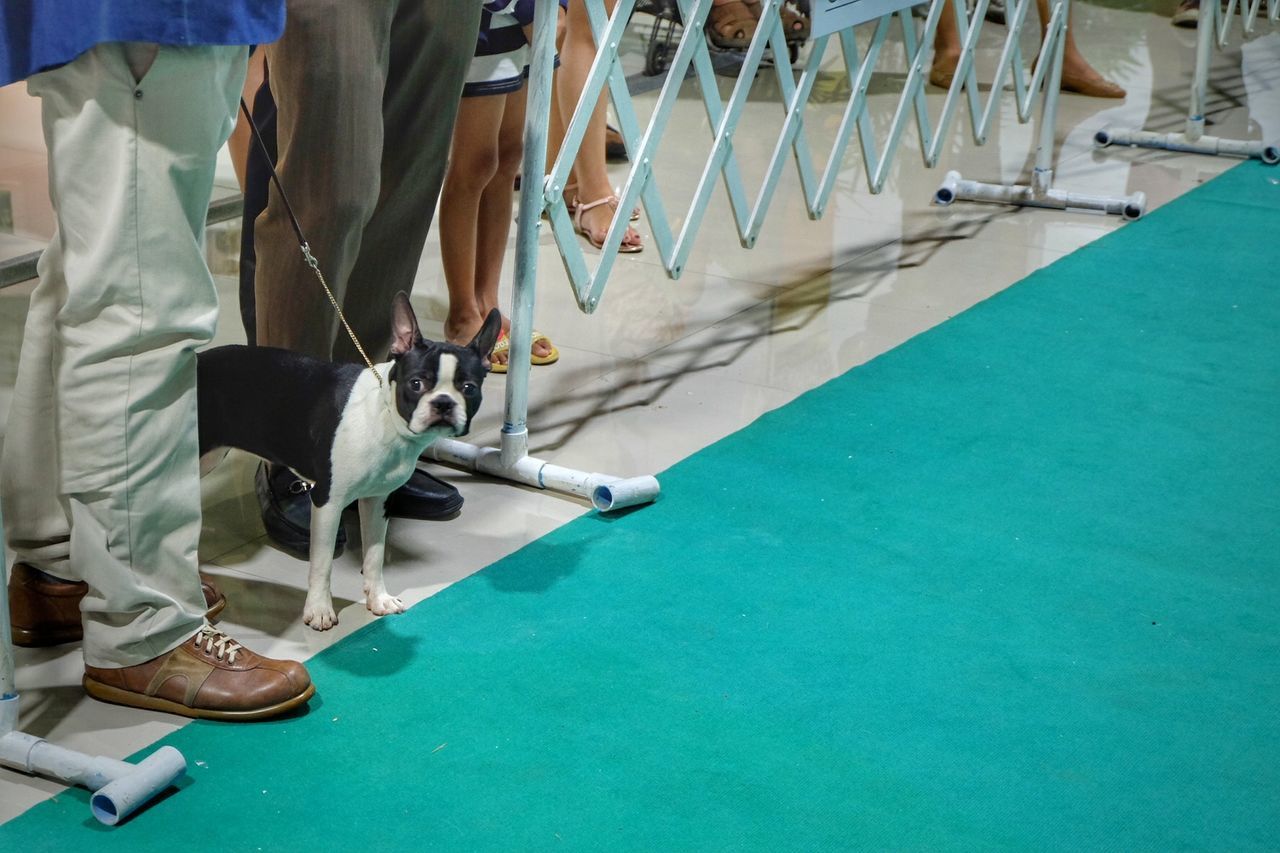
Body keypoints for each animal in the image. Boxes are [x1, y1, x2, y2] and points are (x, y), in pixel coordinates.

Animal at [198, 295, 499, 627]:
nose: (443, 403)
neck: (385, 418)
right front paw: (319, 609)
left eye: (469, 388)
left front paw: (378, 598)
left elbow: (375, 554)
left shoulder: (378, 501)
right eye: (417, 384)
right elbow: (322, 563)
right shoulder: (327, 502)